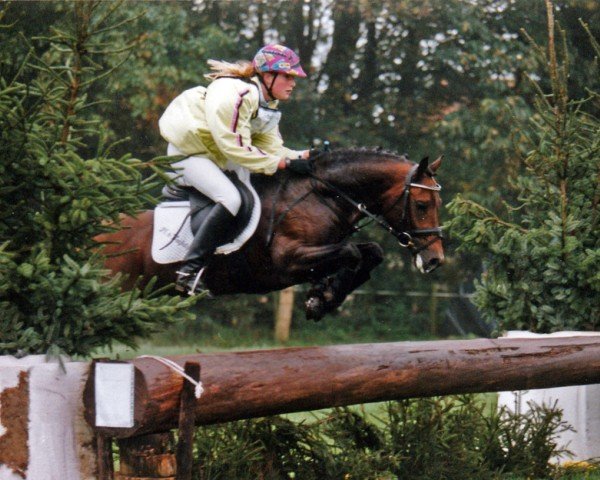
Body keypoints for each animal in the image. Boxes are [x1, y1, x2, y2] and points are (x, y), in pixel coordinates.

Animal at [97, 148, 446, 320]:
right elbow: (353, 252)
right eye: (422, 204)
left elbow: (371, 251)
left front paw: (322, 297)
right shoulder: (287, 261)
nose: (435, 260)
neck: (323, 195)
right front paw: (323, 298)